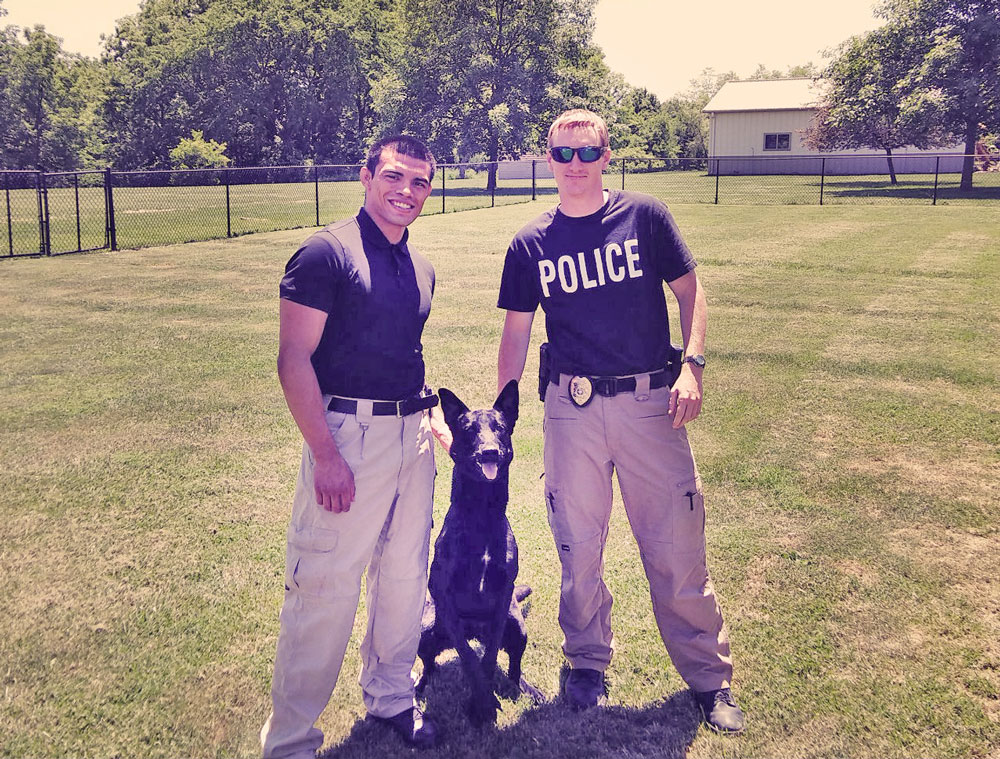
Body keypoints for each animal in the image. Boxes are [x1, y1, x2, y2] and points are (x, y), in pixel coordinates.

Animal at [414, 382, 544, 728]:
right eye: (469, 430)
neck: (482, 514)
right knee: (430, 664)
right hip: (425, 631)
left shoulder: (503, 596)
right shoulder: (443, 593)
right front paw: (481, 704)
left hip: (518, 627)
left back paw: (526, 688)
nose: (489, 452)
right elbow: (470, 658)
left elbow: (488, 658)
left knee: (513, 667)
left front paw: (485, 700)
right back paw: (419, 687)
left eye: (499, 427)